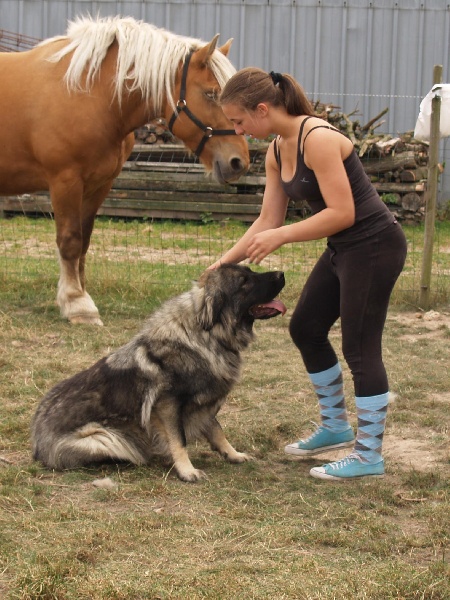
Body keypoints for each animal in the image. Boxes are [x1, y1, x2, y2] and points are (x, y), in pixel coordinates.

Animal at [0, 16, 249, 325]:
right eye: (211, 94)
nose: (238, 162)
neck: (89, 93)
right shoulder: (65, 180)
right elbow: (70, 241)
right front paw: (77, 303)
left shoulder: (98, 185)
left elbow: (84, 242)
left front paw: (80, 293)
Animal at [31, 264, 286, 482]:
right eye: (244, 282)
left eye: (251, 271)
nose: (282, 274)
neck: (206, 335)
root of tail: (37, 444)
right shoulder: (168, 406)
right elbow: (179, 440)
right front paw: (187, 471)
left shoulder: (202, 404)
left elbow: (216, 430)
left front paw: (233, 454)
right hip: (106, 438)